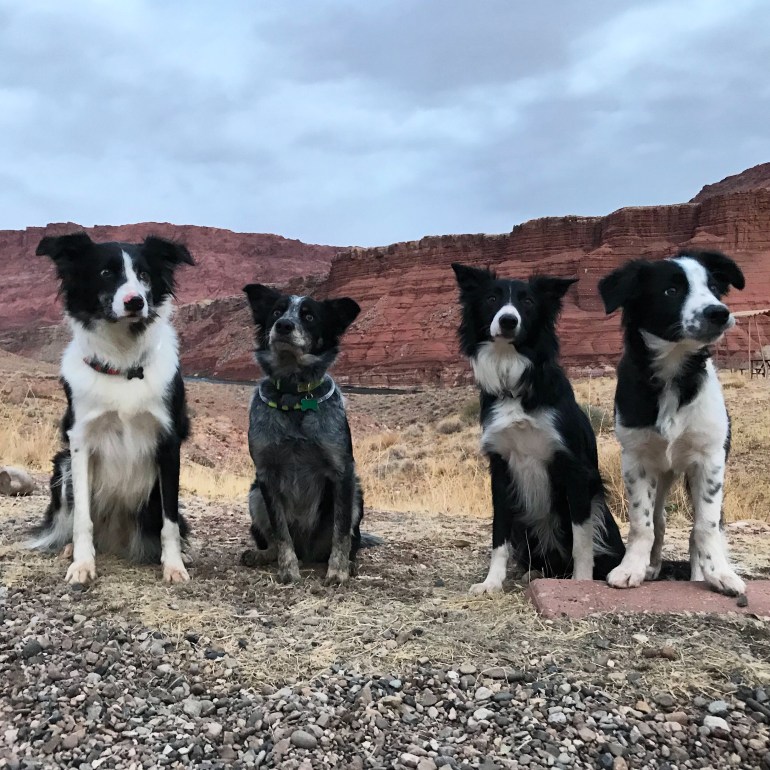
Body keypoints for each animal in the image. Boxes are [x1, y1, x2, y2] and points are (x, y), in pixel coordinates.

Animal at [28, 232, 195, 585]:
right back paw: (70, 550)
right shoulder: (79, 441)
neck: (123, 362)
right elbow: (82, 518)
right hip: (62, 467)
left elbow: (170, 520)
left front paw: (174, 566)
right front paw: (82, 564)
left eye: (144, 275)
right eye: (105, 273)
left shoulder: (169, 441)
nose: (135, 302)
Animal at [241, 283, 372, 585]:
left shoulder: (342, 471)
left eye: (310, 316)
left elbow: (341, 531)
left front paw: (338, 571)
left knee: (350, 539)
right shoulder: (266, 474)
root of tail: (309, 551)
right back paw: (262, 555)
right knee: (272, 539)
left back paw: (349, 563)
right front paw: (288, 570)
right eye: (276, 311)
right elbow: (281, 533)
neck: (294, 397)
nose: (284, 325)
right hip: (255, 495)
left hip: (356, 493)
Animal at [452, 263, 625, 593]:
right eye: (492, 298)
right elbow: (498, 534)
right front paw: (491, 582)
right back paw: (533, 572)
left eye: (528, 302)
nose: (508, 320)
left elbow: (582, 540)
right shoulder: (501, 468)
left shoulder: (573, 467)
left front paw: (581, 582)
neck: (514, 383)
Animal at [598, 250, 746, 597]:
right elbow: (642, 523)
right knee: (659, 519)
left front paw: (717, 573)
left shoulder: (709, 460)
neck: (673, 375)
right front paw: (632, 568)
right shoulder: (637, 459)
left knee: (707, 524)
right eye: (671, 291)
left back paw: (700, 571)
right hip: (662, 473)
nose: (719, 313)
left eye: (714, 287)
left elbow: (705, 525)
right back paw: (652, 565)